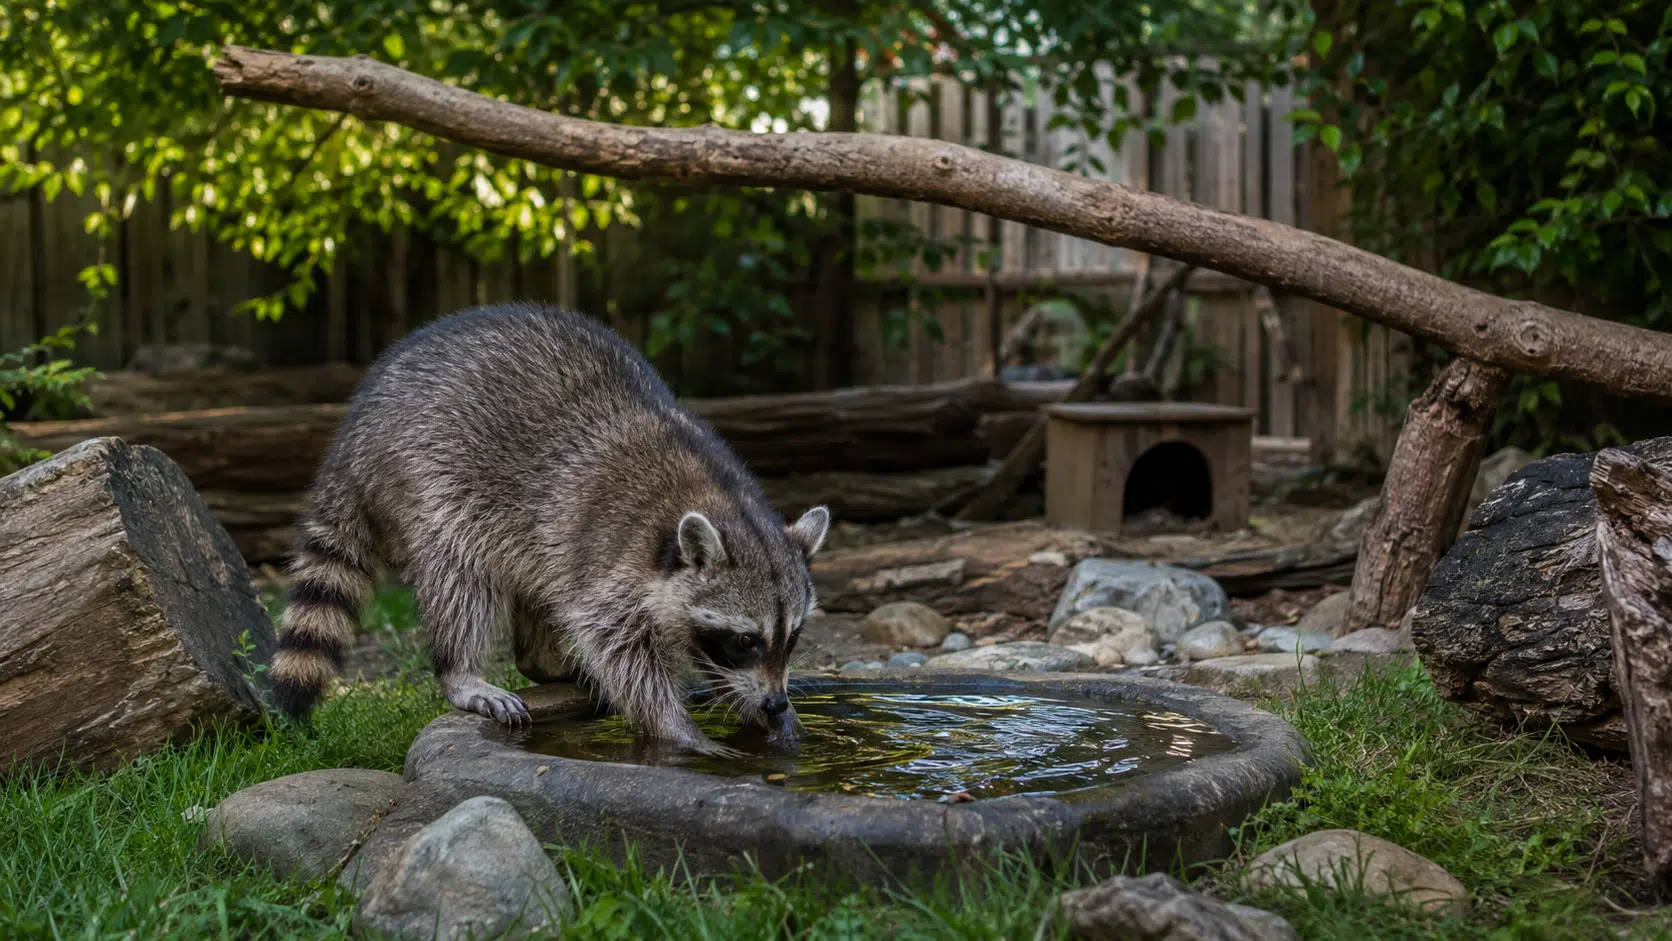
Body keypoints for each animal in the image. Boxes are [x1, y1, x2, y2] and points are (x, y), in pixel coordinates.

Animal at [268, 302, 830, 755]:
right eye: (746, 639)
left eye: (793, 637)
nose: (777, 702)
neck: (717, 496)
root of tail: (356, 429)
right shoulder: (609, 553)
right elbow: (617, 646)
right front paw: (677, 726)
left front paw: (754, 707)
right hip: (427, 477)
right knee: (460, 572)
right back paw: (460, 668)